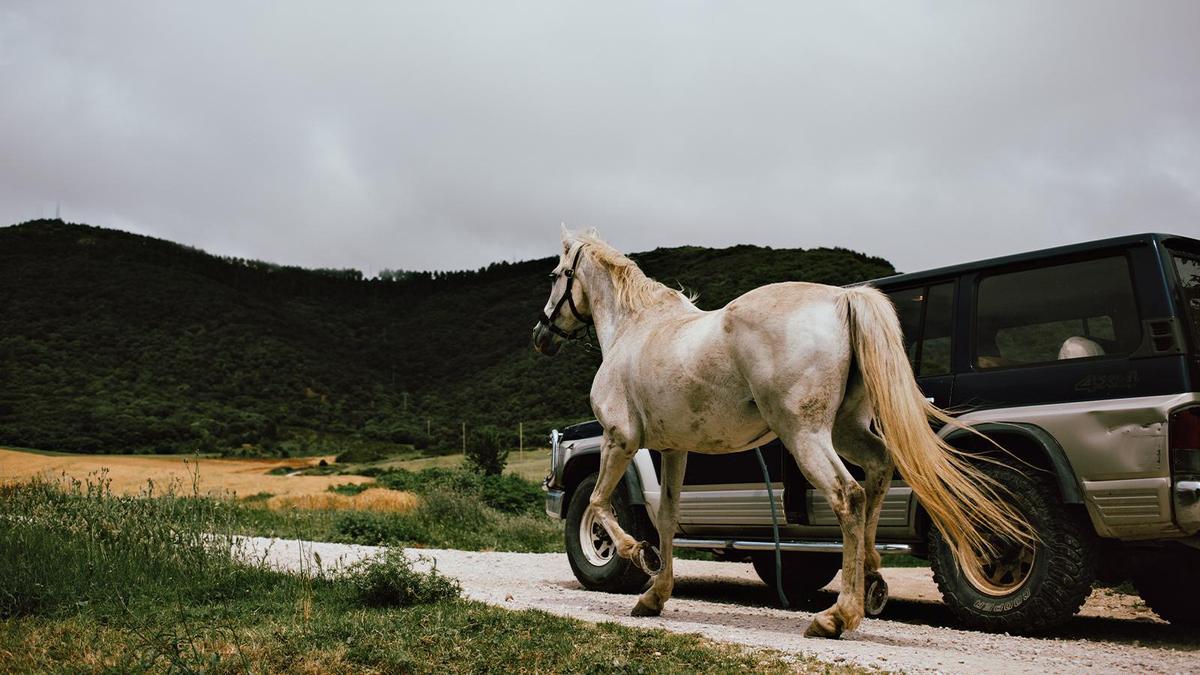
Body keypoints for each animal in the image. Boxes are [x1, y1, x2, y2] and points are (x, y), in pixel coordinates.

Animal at [535, 225, 1032, 634]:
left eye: (556, 274)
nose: (541, 336)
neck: (635, 330)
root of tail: (842, 300)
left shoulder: (619, 440)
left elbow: (598, 504)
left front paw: (639, 554)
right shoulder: (675, 450)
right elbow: (668, 519)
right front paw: (654, 596)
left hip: (805, 436)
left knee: (848, 496)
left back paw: (837, 616)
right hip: (845, 432)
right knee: (877, 473)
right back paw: (871, 581)